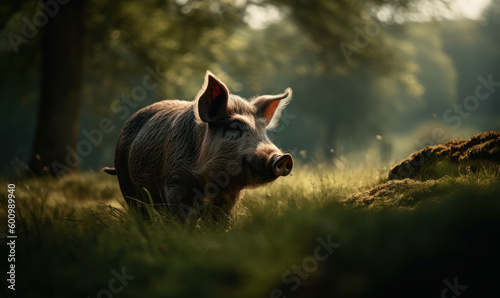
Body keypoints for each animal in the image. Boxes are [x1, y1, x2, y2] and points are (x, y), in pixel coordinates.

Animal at [104, 70, 292, 221]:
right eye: (234, 127)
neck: (210, 181)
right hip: (125, 180)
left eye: (262, 130)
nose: (283, 157)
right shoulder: (175, 184)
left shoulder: (231, 196)